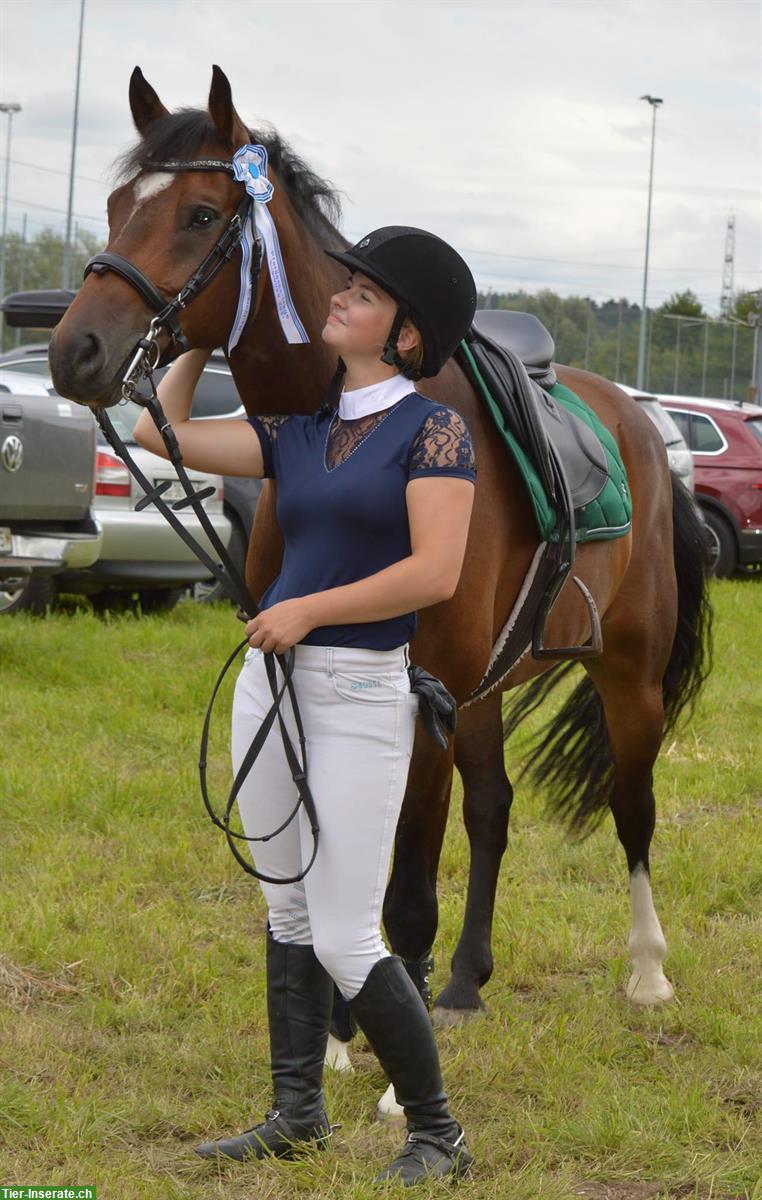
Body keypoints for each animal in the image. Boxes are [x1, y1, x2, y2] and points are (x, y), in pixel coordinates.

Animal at [47, 68, 710, 1089]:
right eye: (120, 206)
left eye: (200, 214)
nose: (73, 352)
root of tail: (644, 423)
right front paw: (339, 1038)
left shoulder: (417, 699)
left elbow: (402, 890)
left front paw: (399, 1081)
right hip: (483, 689)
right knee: (494, 810)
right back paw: (466, 982)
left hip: (625, 675)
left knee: (632, 808)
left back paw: (646, 973)